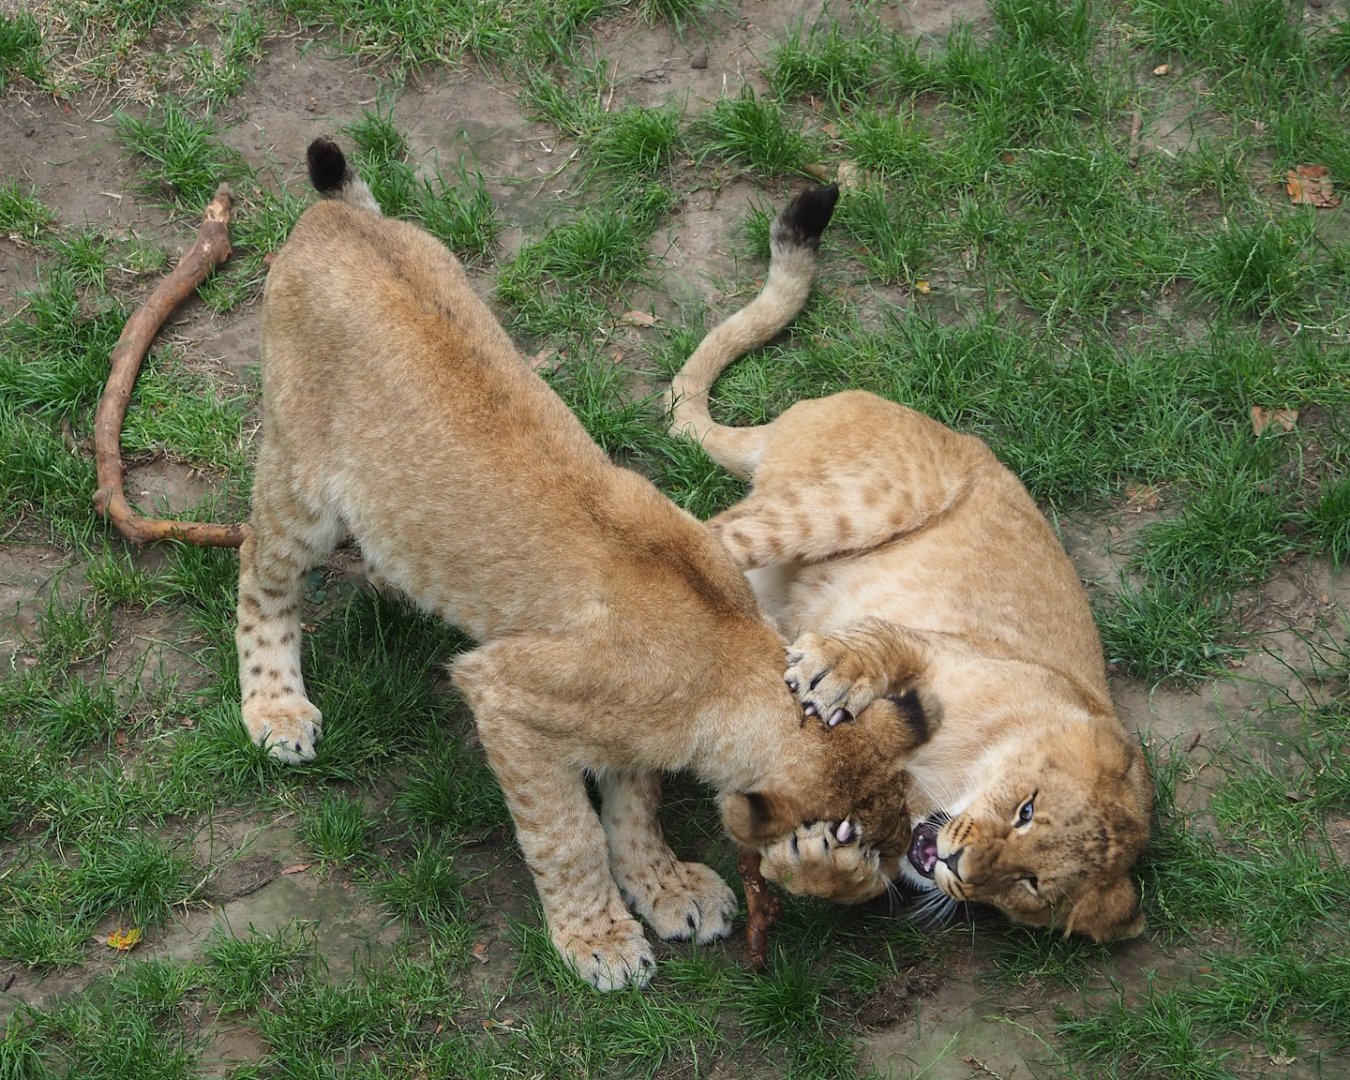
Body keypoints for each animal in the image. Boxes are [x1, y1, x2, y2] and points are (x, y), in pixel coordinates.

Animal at [235, 139, 934, 991]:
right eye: (869, 865)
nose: (910, 872)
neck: (730, 655)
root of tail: (335, 220)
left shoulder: (632, 726)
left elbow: (633, 802)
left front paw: (663, 887)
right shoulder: (505, 696)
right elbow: (567, 835)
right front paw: (597, 938)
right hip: (300, 482)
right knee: (259, 571)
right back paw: (275, 710)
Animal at [666, 184, 1153, 943]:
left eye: (1031, 885)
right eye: (1026, 809)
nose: (956, 864)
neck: (955, 785)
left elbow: (855, 880)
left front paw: (822, 864)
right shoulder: (953, 648)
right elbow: (887, 641)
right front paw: (836, 673)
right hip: (874, 496)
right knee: (703, 531)